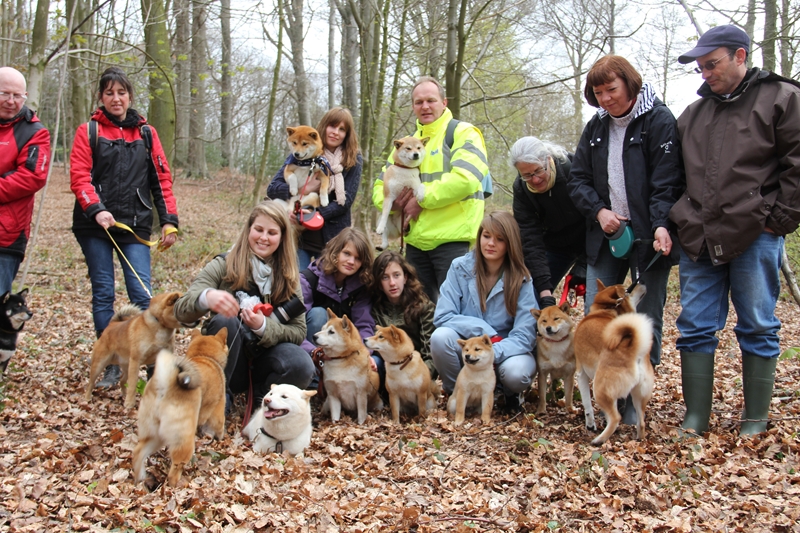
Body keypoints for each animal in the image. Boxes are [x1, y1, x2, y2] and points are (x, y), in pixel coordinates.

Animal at [132, 324, 228, 486]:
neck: (204, 356)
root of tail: (166, 384)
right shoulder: (218, 409)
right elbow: (219, 427)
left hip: (155, 434)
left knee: (138, 453)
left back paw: (140, 478)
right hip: (183, 439)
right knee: (175, 468)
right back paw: (177, 484)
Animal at [572, 282, 652, 444]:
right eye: (628, 288)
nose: (641, 282)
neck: (604, 311)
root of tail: (633, 349)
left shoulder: (581, 374)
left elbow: (587, 406)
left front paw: (590, 425)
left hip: (599, 389)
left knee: (616, 418)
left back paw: (599, 440)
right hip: (638, 395)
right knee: (641, 422)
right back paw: (638, 439)